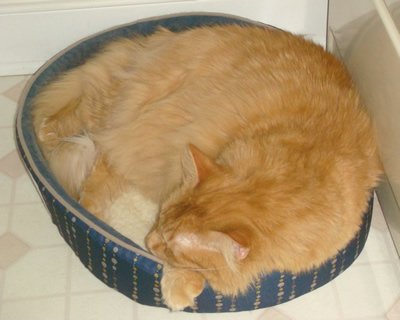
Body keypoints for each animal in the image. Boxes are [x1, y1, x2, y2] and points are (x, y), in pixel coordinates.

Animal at [31, 26, 382, 312]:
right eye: (159, 224)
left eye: (170, 245)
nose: (148, 243)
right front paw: (181, 288)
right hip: (136, 115)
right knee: (82, 128)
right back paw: (59, 159)